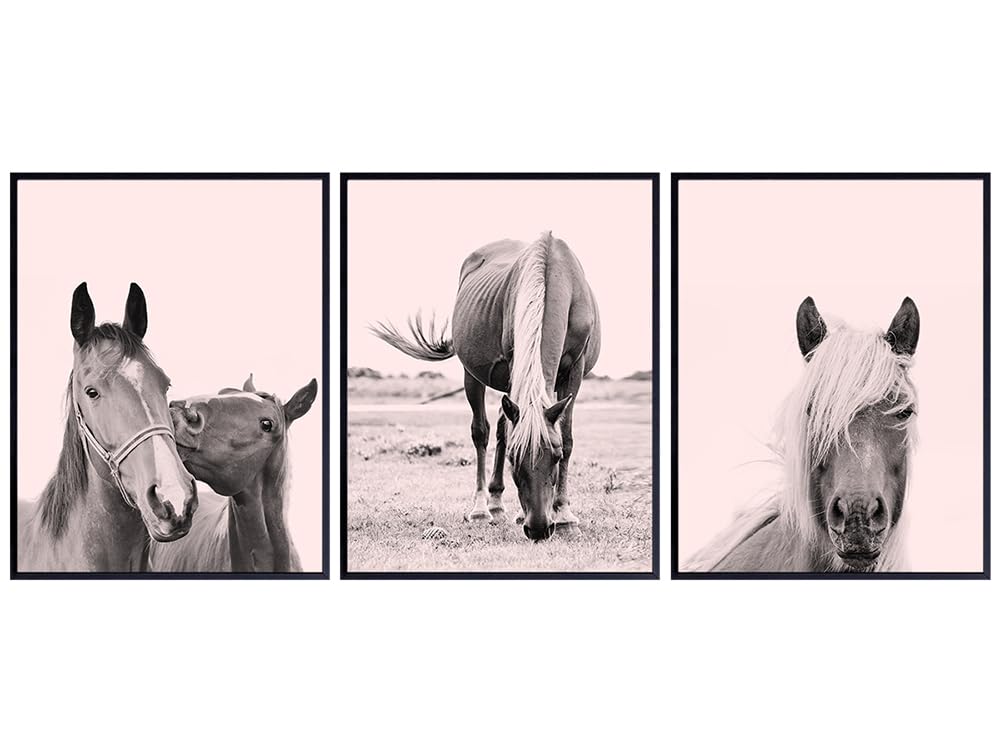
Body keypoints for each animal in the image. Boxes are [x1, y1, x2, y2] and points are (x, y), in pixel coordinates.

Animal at [372, 231, 601, 541]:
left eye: (555, 457)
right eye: (514, 459)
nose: (538, 528)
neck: (552, 273)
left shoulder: (574, 371)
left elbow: (566, 437)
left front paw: (564, 515)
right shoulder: (514, 361)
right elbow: (499, 434)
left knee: (505, 425)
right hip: (473, 375)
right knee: (483, 432)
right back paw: (484, 507)